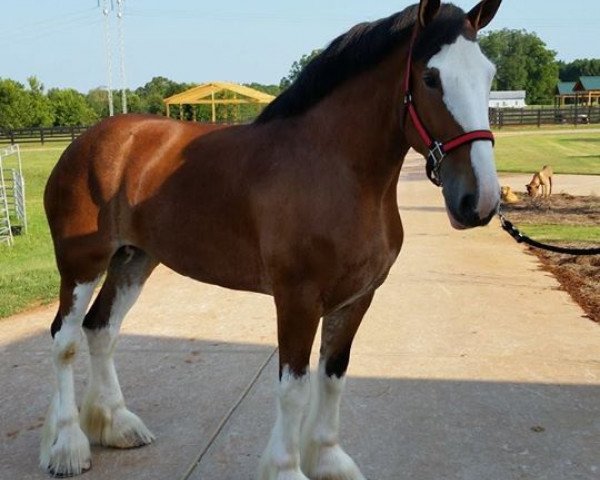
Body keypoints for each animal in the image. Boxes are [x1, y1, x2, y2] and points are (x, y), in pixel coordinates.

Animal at [39, 1, 504, 478]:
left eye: (489, 75)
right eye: (430, 78)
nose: (479, 200)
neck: (334, 168)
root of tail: (89, 142)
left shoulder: (358, 298)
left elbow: (333, 377)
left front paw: (328, 458)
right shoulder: (298, 299)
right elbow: (294, 388)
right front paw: (286, 467)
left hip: (133, 259)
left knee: (101, 330)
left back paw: (116, 425)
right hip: (82, 264)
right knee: (64, 340)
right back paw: (68, 446)